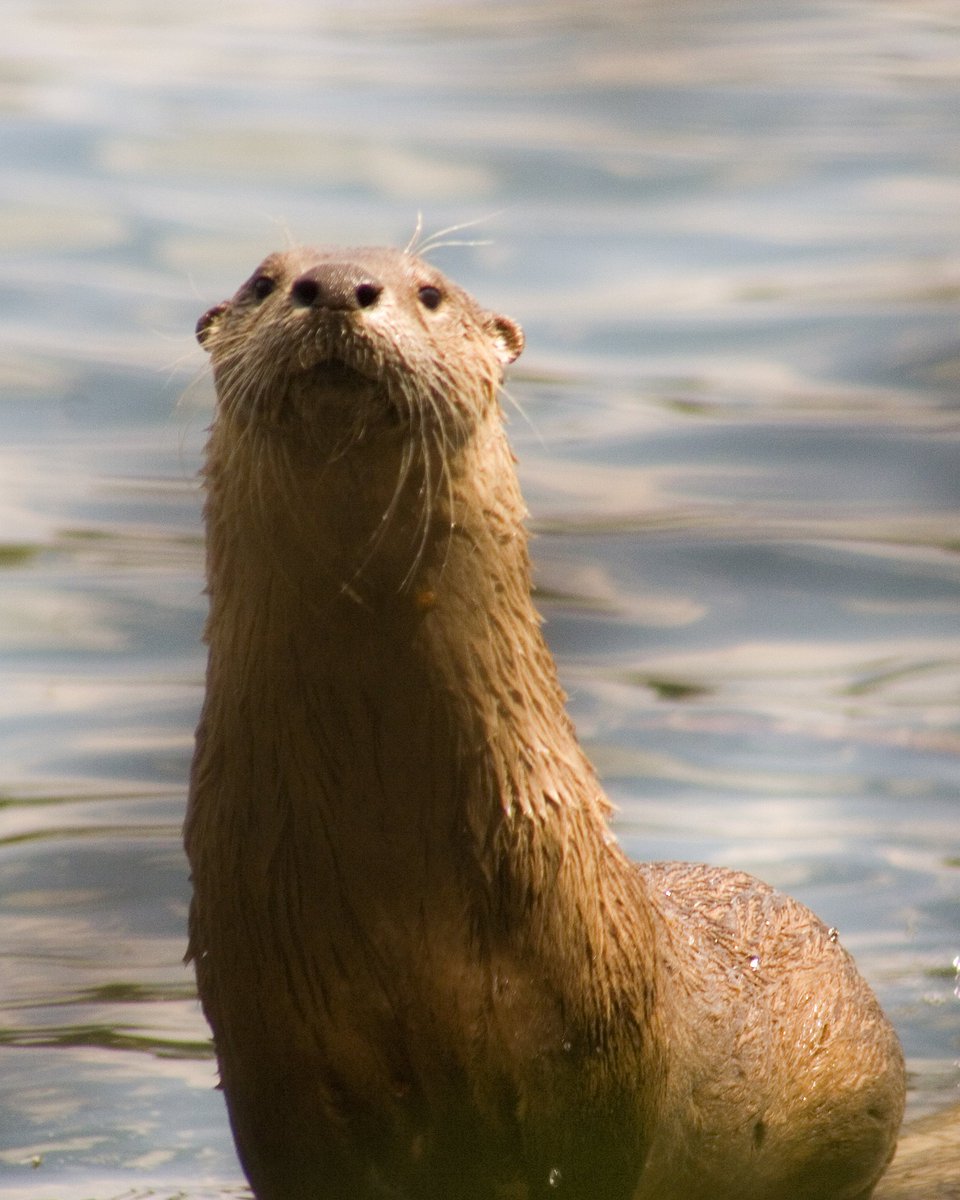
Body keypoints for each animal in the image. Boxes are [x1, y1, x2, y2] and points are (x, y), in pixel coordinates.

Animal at [187, 246, 907, 1200]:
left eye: (429, 290)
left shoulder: (591, 1054)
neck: (395, 886)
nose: (337, 285)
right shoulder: (271, 1058)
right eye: (266, 281)